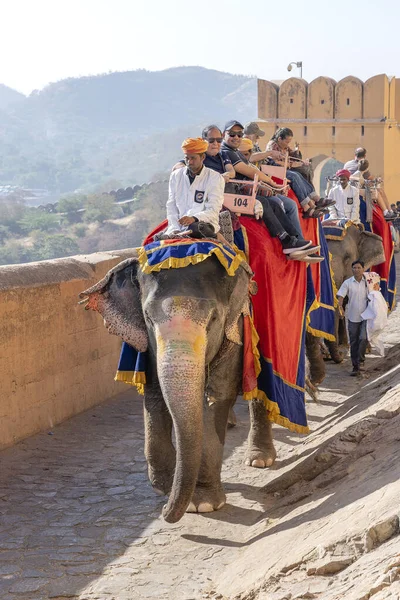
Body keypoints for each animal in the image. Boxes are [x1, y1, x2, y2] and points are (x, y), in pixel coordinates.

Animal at [79, 251, 276, 524]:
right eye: (148, 318)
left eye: (213, 319)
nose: (163, 511)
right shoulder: (149, 345)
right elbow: (154, 393)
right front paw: (165, 485)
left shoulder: (234, 328)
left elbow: (218, 396)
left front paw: (202, 504)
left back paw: (259, 460)